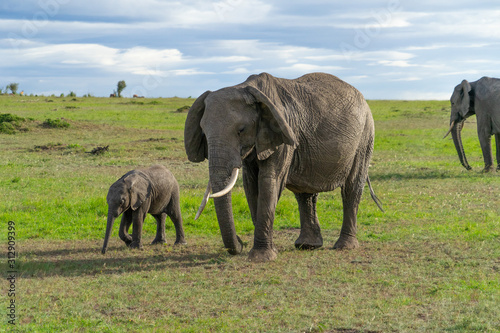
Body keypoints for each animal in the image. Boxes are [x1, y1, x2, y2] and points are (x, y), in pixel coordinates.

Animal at [184, 72, 382, 262]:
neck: (246, 88)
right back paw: (307, 245)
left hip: (364, 137)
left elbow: (269, 181)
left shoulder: (282, 133)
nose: (239, 243)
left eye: (241, 130)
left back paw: (344, 246)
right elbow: (251, 186)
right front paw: (264, 251)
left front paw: (261, 257)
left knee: (351, 188)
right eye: (203, 131)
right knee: (305, 194)